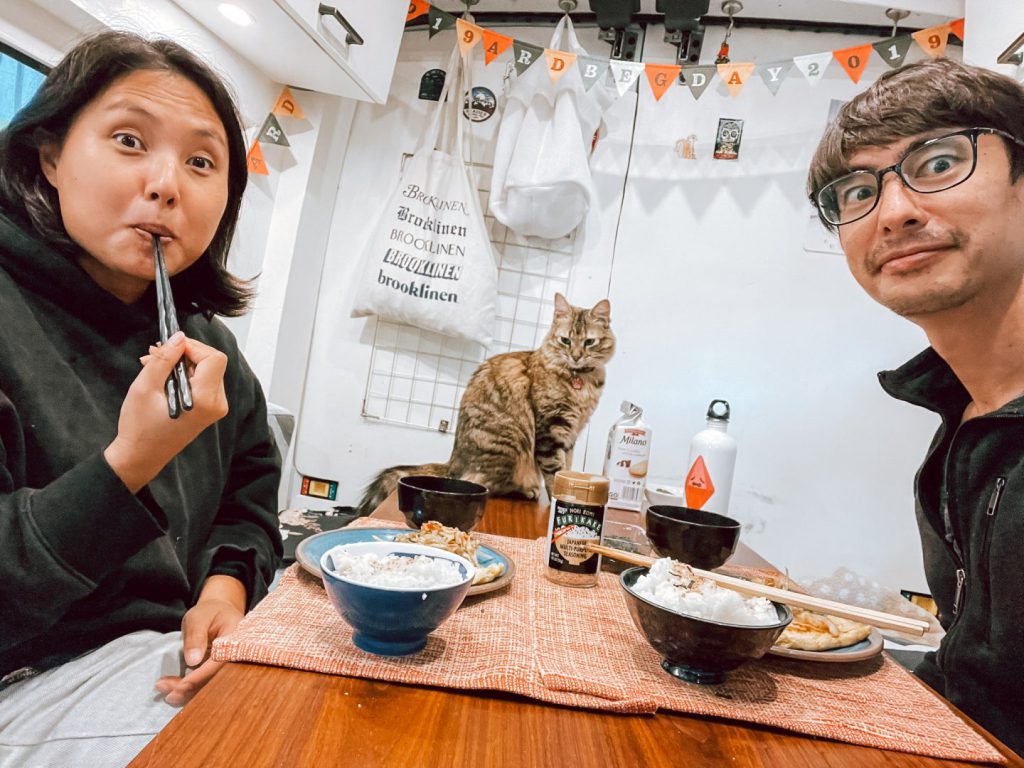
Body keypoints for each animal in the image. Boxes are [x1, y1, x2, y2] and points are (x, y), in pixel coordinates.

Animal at [358, 294, 614, 518]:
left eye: (589, 342)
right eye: (565, 341)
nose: (576, 356)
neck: (580, 381)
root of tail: (453, 464)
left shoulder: (571, 433)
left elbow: (566, 468)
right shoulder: (551, 430)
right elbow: (554, 472)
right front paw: (557, 500)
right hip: (510, 444)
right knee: (485, 485)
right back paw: (527, 491)